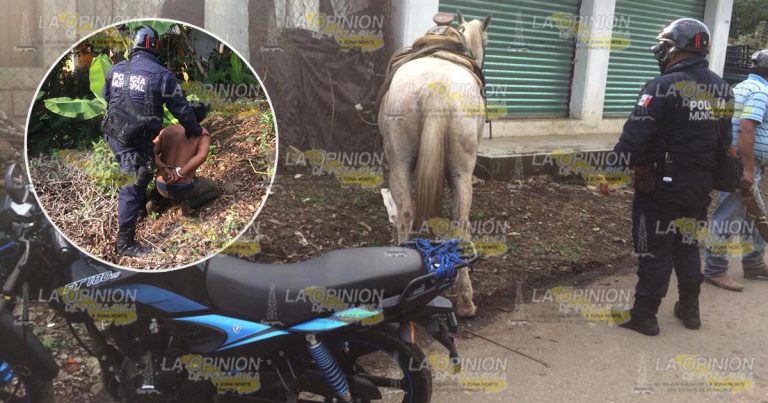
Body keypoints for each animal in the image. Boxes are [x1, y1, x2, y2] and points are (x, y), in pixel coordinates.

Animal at [378, 13, 491, 318]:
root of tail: (436, 88)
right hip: (462, 172)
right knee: (460, 222)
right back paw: (465, 300)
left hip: (400, 163)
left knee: (406, 211)